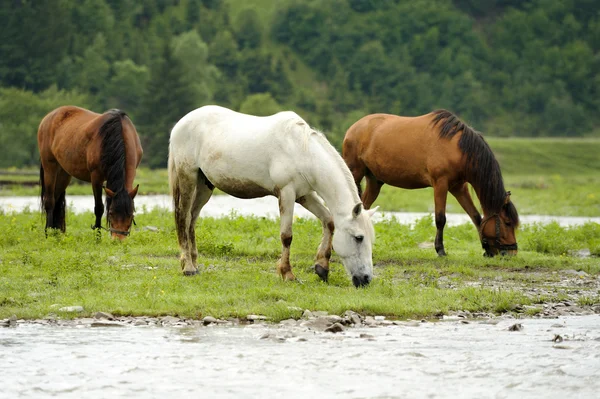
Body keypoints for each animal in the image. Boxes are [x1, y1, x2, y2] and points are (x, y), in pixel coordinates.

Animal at [37, 104, 143, 241]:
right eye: (111, 213)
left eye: (131, 215)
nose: (118, 240)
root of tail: (49, 117)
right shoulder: (96, 177)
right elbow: (99, 208)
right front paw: (97, 238)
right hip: (50, 167)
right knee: (49, 201)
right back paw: (48, 234)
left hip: (64, 174)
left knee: (56, 200)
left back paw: (56, 234)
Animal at [166, 106, 378, 288]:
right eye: (359, 237)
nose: (366, 279)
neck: (302, 150)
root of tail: (181, 123)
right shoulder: (286, 193)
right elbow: (287, 236)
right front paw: (287, 274)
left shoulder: (305, 195)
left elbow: (329, 221)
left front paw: (322, 268)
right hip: (188, 177)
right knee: (183, 217)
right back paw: (188, 268)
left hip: (205, 185)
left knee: (192, 220)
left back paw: (194, 263)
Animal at [344, 111, 516, 258]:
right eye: (507, 223)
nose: (512, 252)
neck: (457, 148)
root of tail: (353, 128)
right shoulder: (440, 184)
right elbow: (441, 218)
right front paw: (440, 250)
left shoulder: (459, 187)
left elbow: (476, 217)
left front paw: (487, 249)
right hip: (354, 173)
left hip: (375, 182)